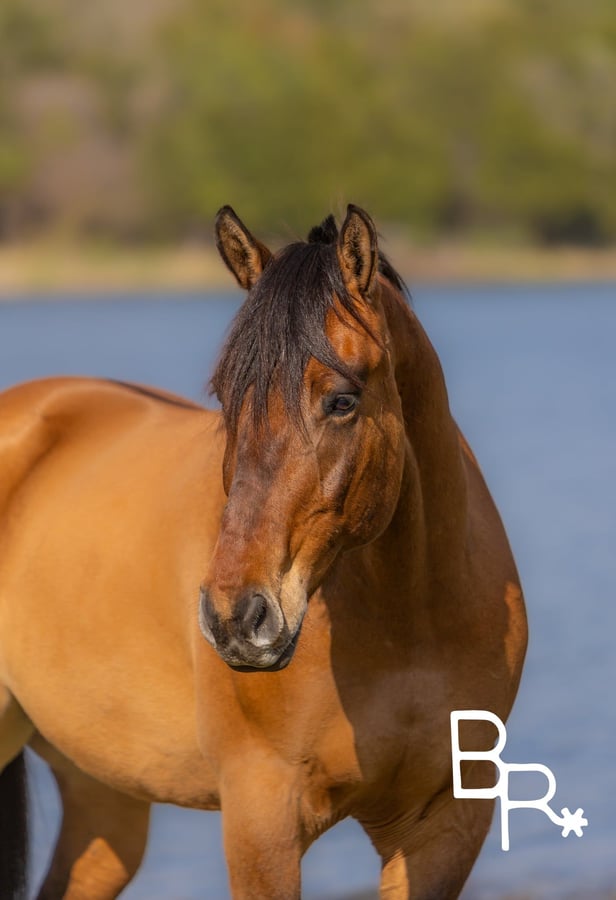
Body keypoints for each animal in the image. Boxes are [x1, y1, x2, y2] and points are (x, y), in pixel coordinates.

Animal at [0, 204, 527, 900]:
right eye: (228, 398)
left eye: (342, 400)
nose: (234, 619)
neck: (411, 623)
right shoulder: (261, 816)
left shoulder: (445, 825)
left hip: (104, 797)